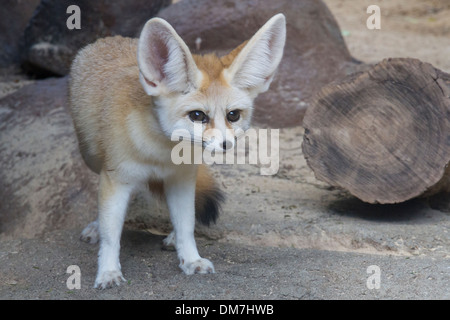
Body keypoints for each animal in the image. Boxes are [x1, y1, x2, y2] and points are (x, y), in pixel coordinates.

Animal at [67, 13, 284, 288]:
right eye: (197, 115)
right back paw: (96, 227)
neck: (161, 154)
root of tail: (109, 39)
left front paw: (190, 259)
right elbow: (111, 234)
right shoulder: (116, 179)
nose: (226, 145)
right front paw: (107, 271)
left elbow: (186, 225)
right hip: (92, 157)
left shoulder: (182, 179)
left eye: (233, 115)